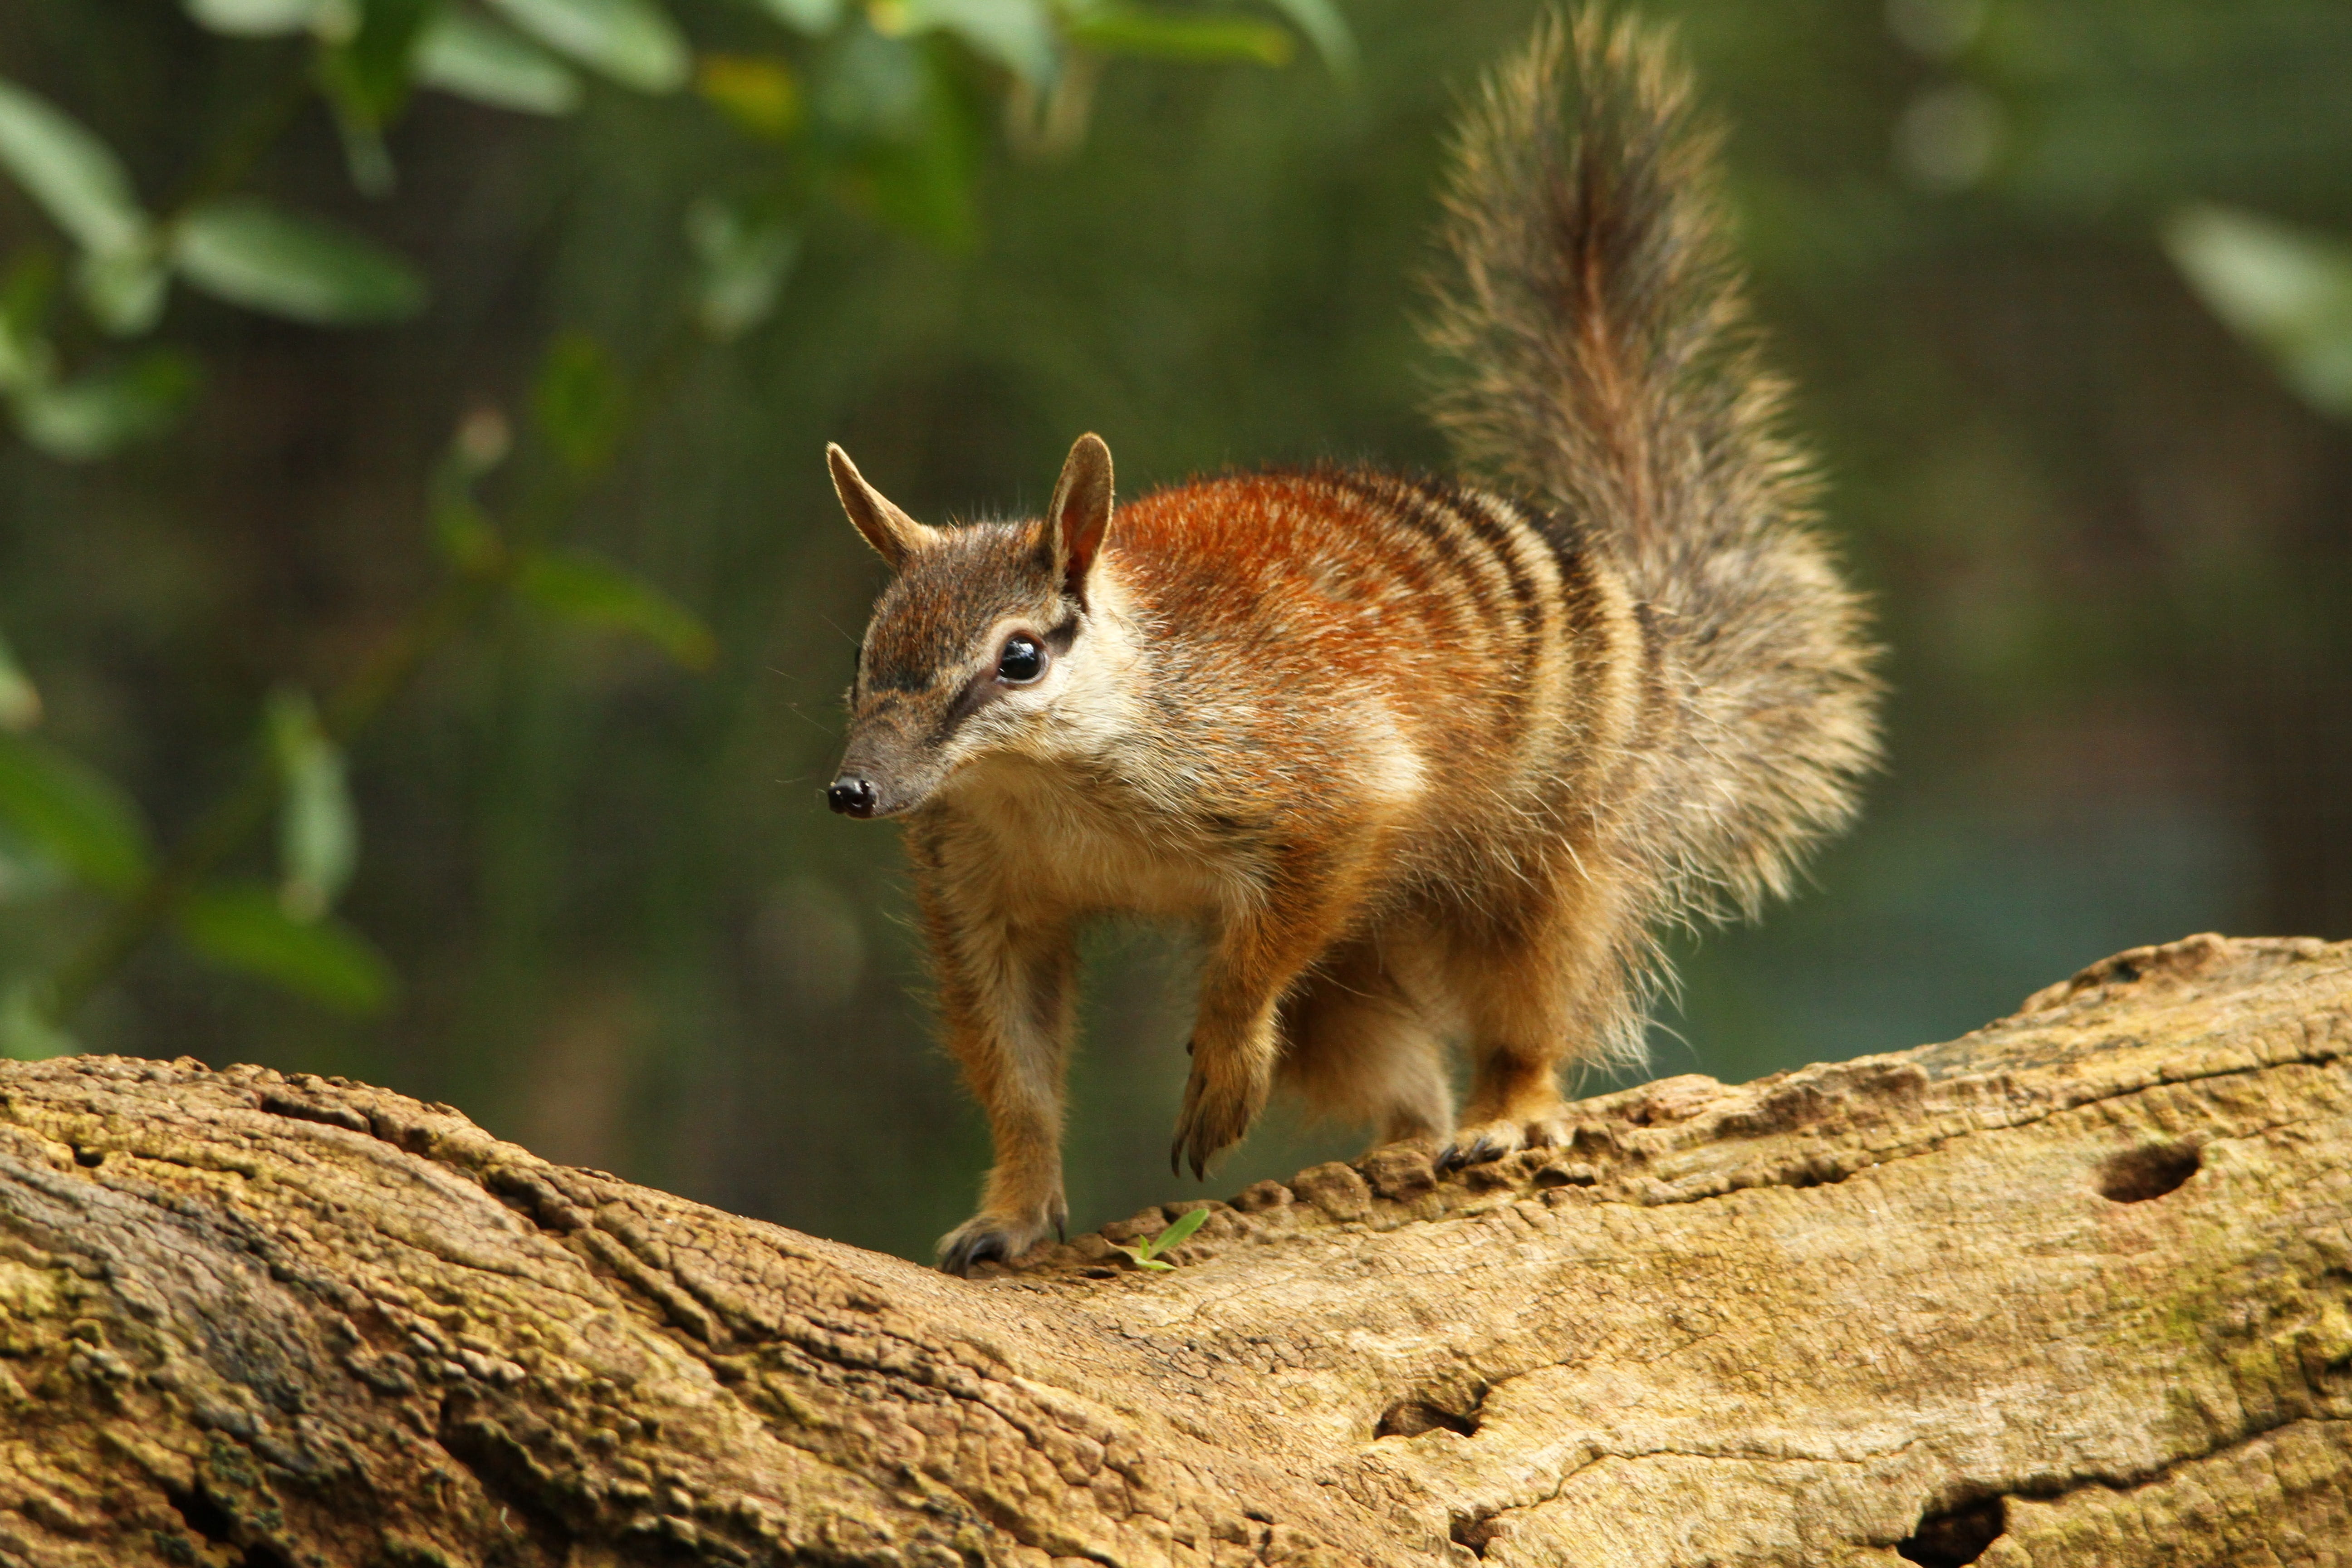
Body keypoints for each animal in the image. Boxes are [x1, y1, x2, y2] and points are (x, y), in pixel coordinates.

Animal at [822, 11, 1880, 1275]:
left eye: (1019, 656)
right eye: (861, 654)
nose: (853, 791)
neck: (1059, 772)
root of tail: (1665, 639)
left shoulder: (1315, 774)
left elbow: (1265, 944)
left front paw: (1222, 1069)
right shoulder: (984, 889)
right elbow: (1013, 1066)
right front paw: (1015, 1209)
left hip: (1553, 860)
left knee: (1528, 1011)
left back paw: (1505, 1112)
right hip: (1362, 974)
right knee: (1395, 1070)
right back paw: (1396, 1144)